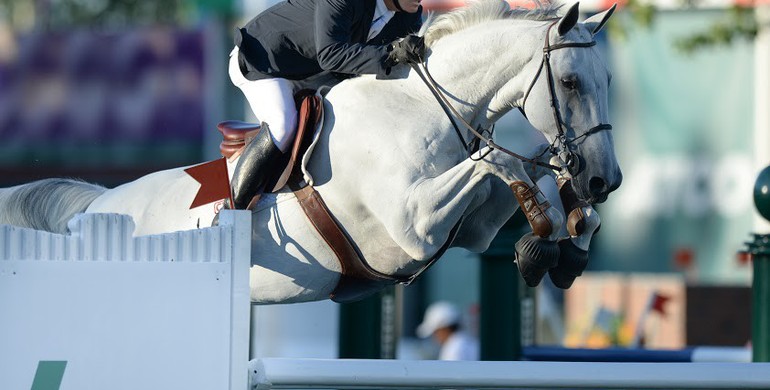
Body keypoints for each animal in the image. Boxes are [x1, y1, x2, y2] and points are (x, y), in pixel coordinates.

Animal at [0, 0, 616, 304]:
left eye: (608, 79)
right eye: (569, 82)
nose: (604, 181)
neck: (424, 105)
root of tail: (95, 209)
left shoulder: (473, 229)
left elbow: (520, 179)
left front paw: (567, 242)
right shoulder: (414, 224)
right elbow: (504, 162)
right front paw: (546, 244)